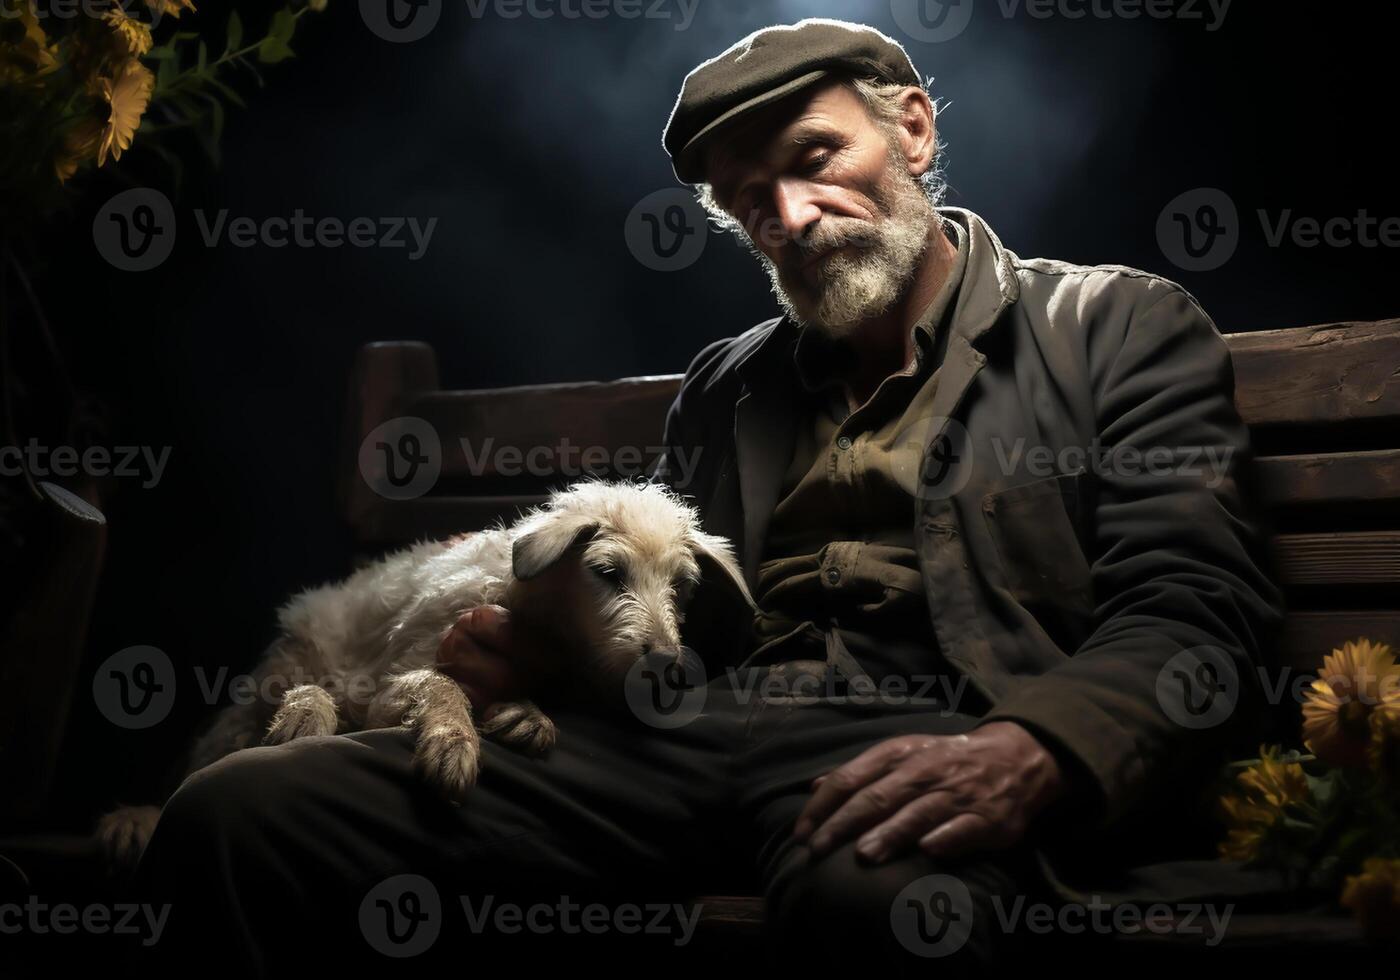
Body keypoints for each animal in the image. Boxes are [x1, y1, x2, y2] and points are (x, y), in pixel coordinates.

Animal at [98, 478, 750, 868]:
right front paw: (453, 741)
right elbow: (439, 683)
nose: (667, 666)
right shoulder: (391, 680)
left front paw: (524, 713)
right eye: (608, 573)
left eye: (683, 587)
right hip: (284, 677)